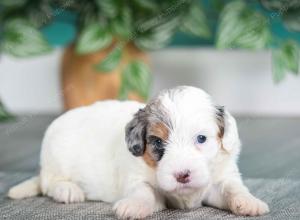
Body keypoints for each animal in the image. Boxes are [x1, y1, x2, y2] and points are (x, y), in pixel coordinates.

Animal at [8, 86, 270, 218]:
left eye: (201, 139)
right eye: (158, 143)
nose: (182, 175)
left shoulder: (221, 178)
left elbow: (232, 189)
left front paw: (250, 202)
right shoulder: (138, 179)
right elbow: (143, 192)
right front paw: (132, 206)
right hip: (55, 158)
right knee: (50, 184)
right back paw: (68, 190)